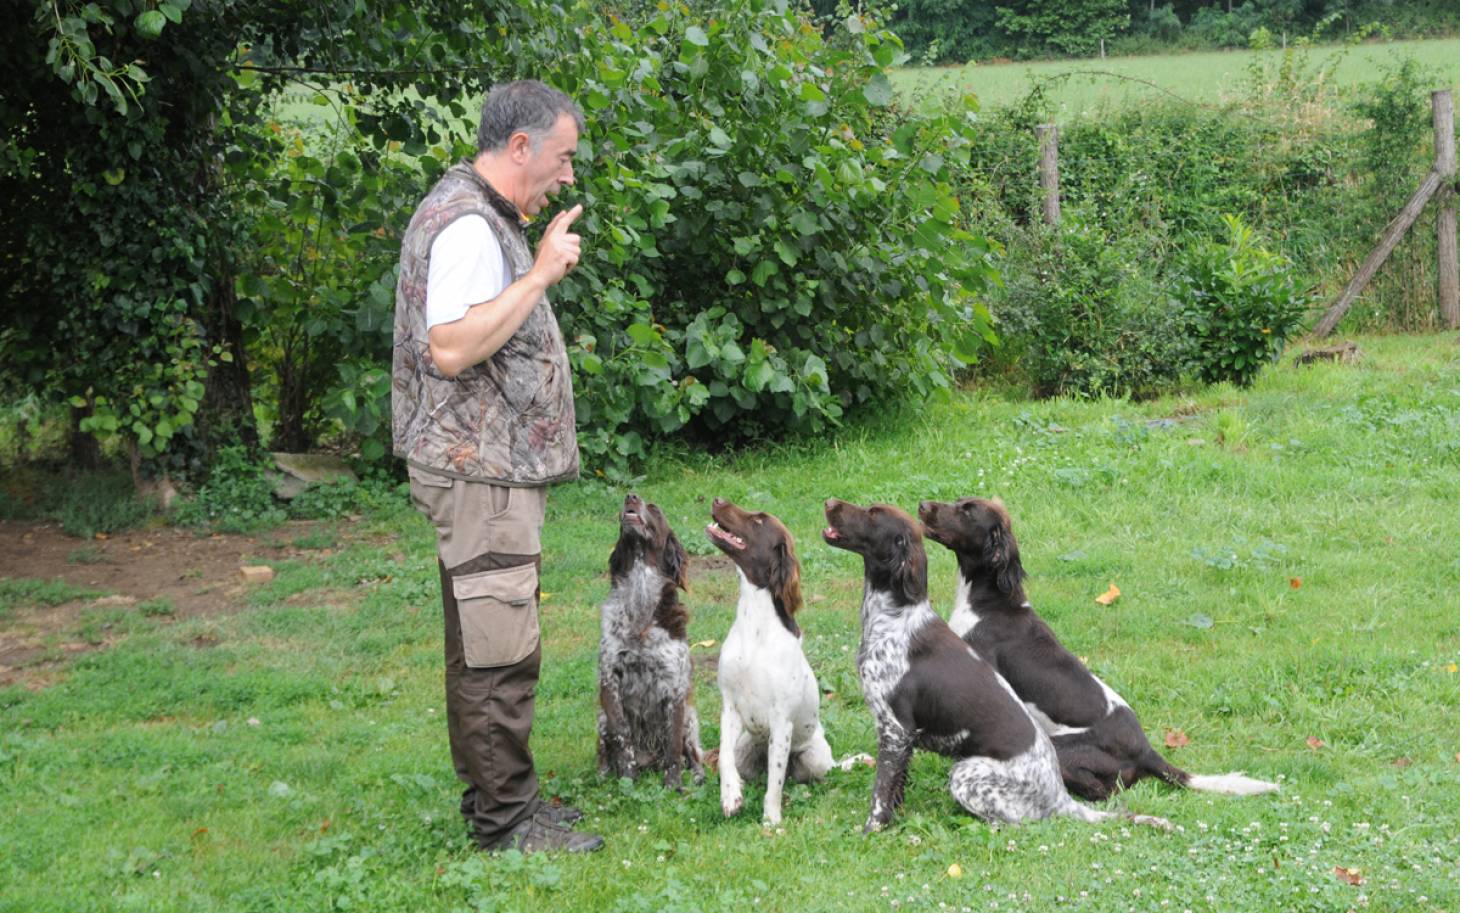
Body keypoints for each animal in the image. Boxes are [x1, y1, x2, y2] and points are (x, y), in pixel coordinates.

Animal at [595, 493, 703, 788]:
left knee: (693, 754)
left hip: (691, 719)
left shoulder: (675, 688)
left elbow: (673, 746)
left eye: (655, 508)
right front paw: (627, 781)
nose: (631, 496)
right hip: (600, 719)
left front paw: (673, 786)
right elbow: (622, 736)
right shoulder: (609, 679)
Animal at [829, 499, 1168, 835]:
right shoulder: (903, 739)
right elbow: (896, 789)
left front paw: (871, 832)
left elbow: (880, 794)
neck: (895, 618)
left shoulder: (896, 730)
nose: (829, 502)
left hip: (966, 773)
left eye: (873, 514)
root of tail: (1061, 799)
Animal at [922, 493, 1278, 800]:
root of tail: (1146, 750)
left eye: (967, 512)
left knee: (1103, 790)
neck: (990, 601)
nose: (923, 505)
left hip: (1062, 748)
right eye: (958, 501)